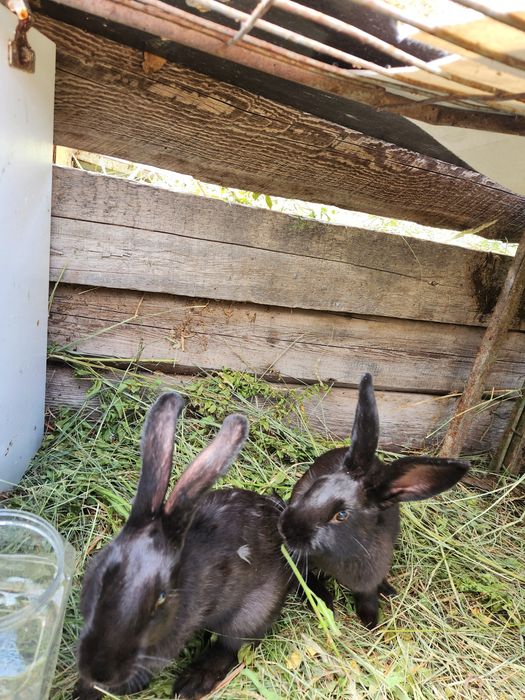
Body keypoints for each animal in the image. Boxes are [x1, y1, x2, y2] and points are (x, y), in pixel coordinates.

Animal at [75, 392, 292, 700]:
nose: (99, 670)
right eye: (103, 576)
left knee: (230, 647)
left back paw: (192, 682)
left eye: (161, 598)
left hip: (251, 612)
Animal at [278, 373, 469, 630]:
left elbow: (367, 595)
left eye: (341, 515)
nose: (285, 529)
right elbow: (306, 581)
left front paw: (371, 620)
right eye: (317, 485)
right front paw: (325, 603)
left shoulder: (369, 577)